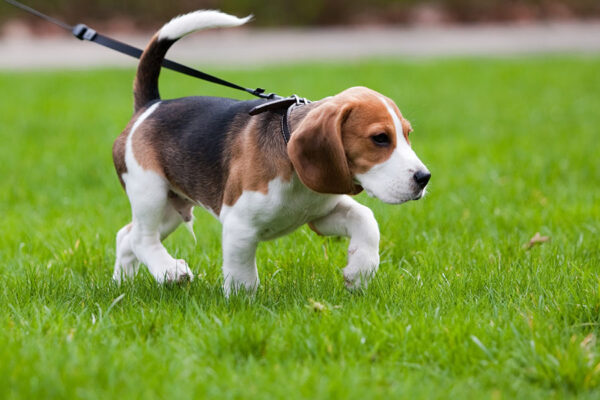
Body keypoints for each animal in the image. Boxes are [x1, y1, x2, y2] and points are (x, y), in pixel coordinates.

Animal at [111, 10, 432, 296]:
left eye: (407, 134)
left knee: (125, 236)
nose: (424, 178)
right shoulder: (239, 225)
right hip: (150, 191)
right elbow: (243, 275)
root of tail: (151, 106)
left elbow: (366, 219)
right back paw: (169, 270)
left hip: (171, 207)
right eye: (380, 138)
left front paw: (360, 271)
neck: (296, 174)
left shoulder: (321, 214)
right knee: (141, 239)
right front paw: (242, 305)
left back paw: (122, 284)